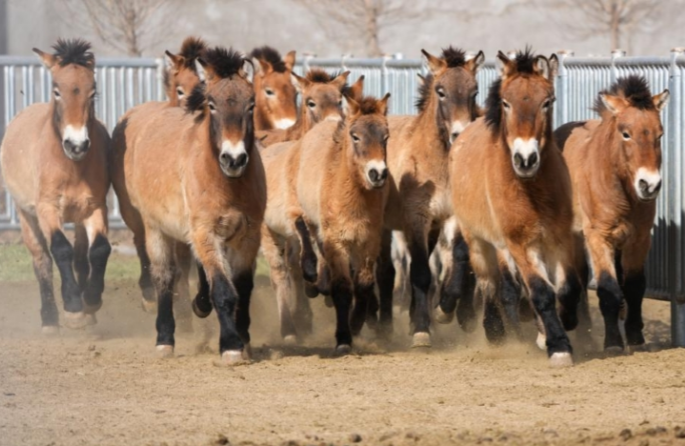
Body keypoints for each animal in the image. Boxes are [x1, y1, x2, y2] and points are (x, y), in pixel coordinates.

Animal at [0, 39, 111, 332]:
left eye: (92, 91)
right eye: (57, 91)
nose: (77, 145)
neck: (70, 166)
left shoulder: (95, 206)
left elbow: (100, 250)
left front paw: (91, 301)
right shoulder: (47, 208)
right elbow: (60, 249)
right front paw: (72, 308)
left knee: (82, 257)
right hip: (26, 215)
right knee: (42, 260)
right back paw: (50, 319)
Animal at [123, 46, 265, 364]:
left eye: (251, 105)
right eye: (212, 105)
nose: (234, 159)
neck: (227, 182)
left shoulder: (248, 235)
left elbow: (244, 288)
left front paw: (245, 340)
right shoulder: (204, 231)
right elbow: (223, 290)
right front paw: (231, 346)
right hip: (156, 230)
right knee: (164, 278)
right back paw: (164, 339)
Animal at [377, 47, 485, 346]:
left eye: (474, 91)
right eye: (440, 91)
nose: (460, 134)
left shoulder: (450, 217)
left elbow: (460, 257)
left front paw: (445, 310)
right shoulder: (417, 218)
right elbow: (421, 273)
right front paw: (422, 331)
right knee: (387, 271)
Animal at [449, 49, 580, 367]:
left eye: (547, 101)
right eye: (506, 103)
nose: (526, 159)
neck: (532, 189)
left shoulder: (559, 238)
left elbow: (566, 288)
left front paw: (562, 324)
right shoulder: (520, 244)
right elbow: (541, 291)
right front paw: (558, 346)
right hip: (479, 241)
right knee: (488, 284)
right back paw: (494, 330)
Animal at [555, 75, 669, 352]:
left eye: (659, 135)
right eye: (626, 134)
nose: (649, 185)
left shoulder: (639, 238)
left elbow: (634, 286)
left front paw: (636, 337)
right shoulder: (599, 236)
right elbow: (608, 287)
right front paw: (613, 343)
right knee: (576, 279)